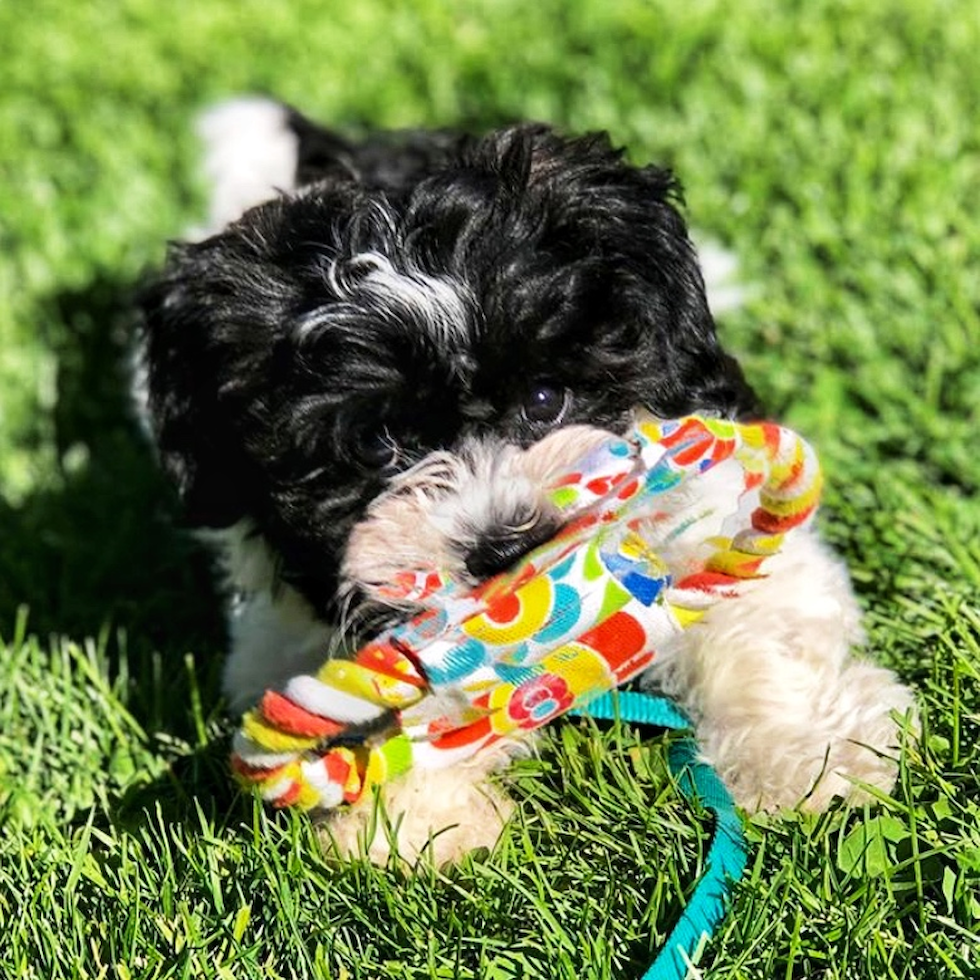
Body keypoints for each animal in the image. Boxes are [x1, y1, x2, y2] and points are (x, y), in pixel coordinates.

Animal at [136, 99, 912, 860]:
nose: (507, 548)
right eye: (382, 444)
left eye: (545, 399)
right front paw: (417, 822)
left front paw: (804, 753)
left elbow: (754, 616)